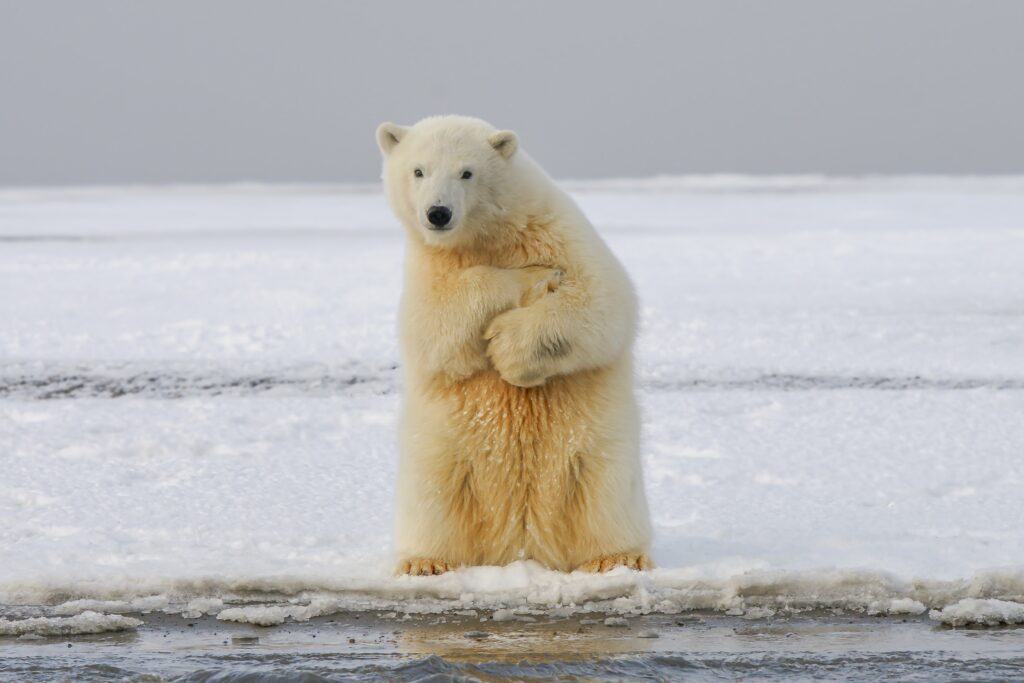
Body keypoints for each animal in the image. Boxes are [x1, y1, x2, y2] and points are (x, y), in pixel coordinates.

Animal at [376, 115, 652, 575]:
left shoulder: (560, 232)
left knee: (603, 493)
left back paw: (617, 557)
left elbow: (602, 300)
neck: (490, 235)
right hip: (442, 454)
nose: (438, 213)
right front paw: (530, 278)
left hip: (597, 452)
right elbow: (434, 325)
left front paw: (509, 348)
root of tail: (522, 545)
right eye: (418, 170)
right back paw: (425, 562)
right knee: (434, 496)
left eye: (467, 172)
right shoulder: (428, 267)